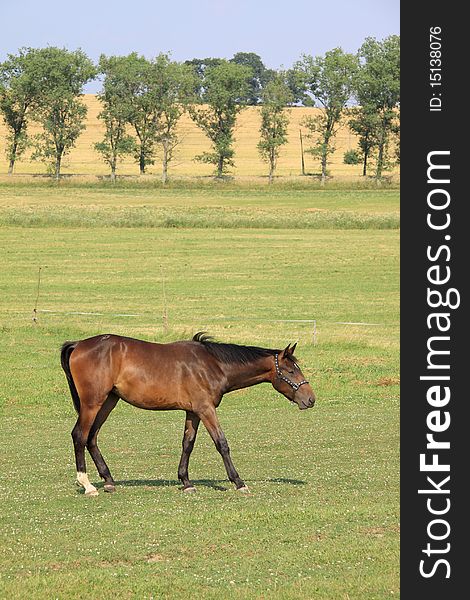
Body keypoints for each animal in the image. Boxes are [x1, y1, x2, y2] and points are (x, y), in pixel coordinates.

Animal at [59, 332, 316, 496]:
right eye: (291, 371)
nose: (310, 399)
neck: (212, 364)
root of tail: (79, 344)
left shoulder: (192, 412)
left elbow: (187, 444)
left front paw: (185, 481)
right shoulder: (205, 409)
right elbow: (222, 443)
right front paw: (239, 482)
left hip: (109, 401)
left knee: (92, 437)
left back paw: (109, 481)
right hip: (93, 402)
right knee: (79, 435)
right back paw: (88, 485)